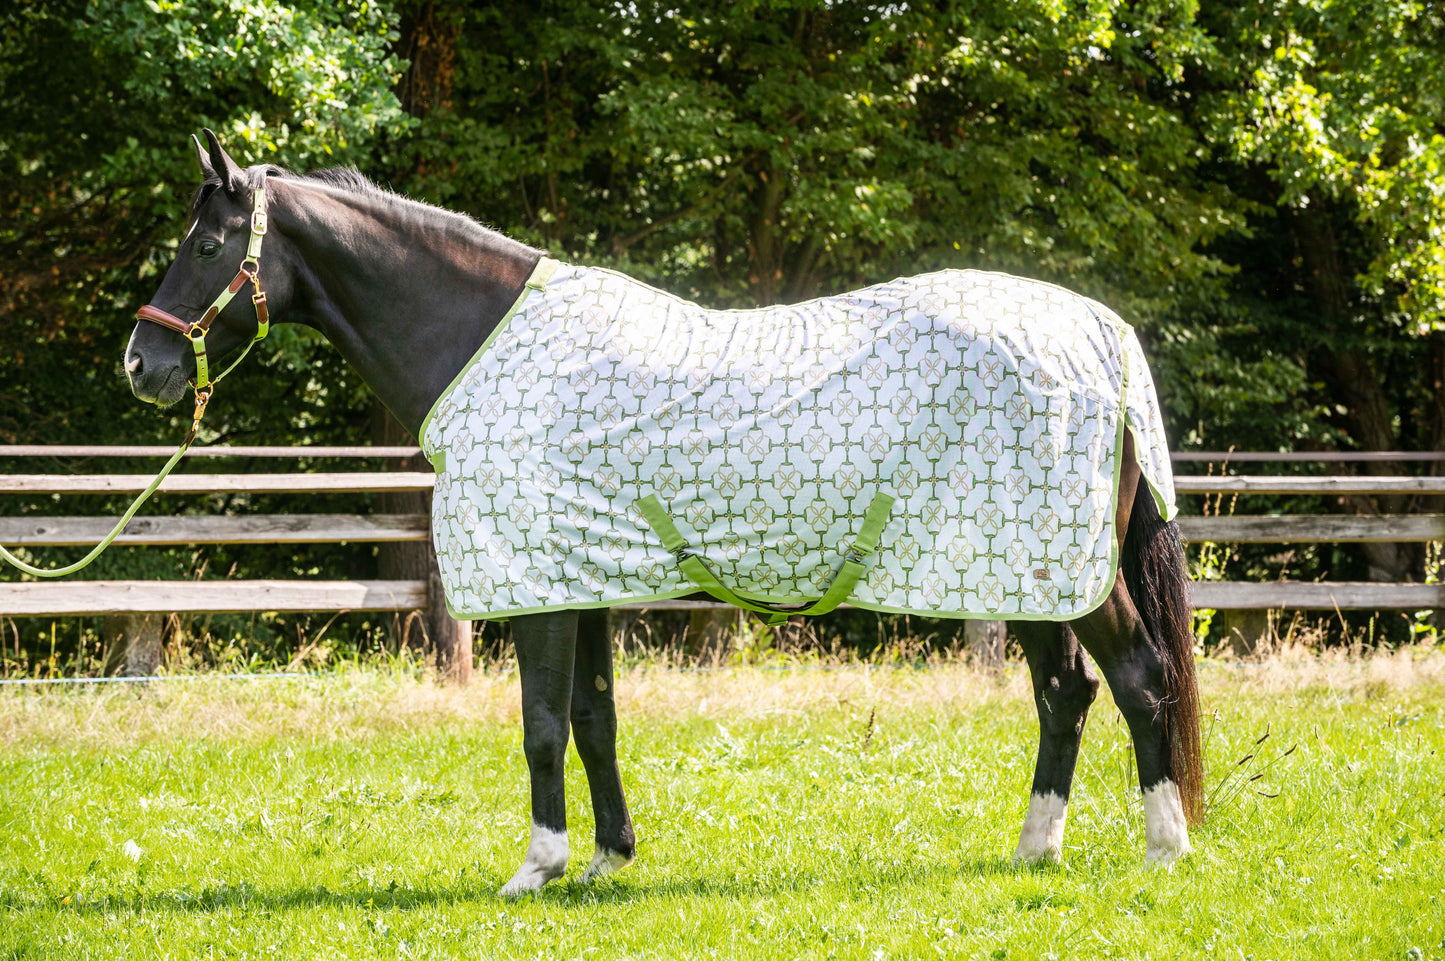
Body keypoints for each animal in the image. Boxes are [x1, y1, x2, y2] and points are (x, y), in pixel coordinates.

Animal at [130, 131, 1202, 895]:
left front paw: (538, 866)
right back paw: (1033, 849)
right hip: (1021, 572)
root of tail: (1099, 330)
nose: (144, 364)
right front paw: (609, 855)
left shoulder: (537, 586)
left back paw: (1162, 849)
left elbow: (541, 722)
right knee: (1065, 693)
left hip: (1059, 570)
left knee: (1138, 679)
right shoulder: (583, 577)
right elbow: (594, 718)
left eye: (208, 243)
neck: (485, 342)